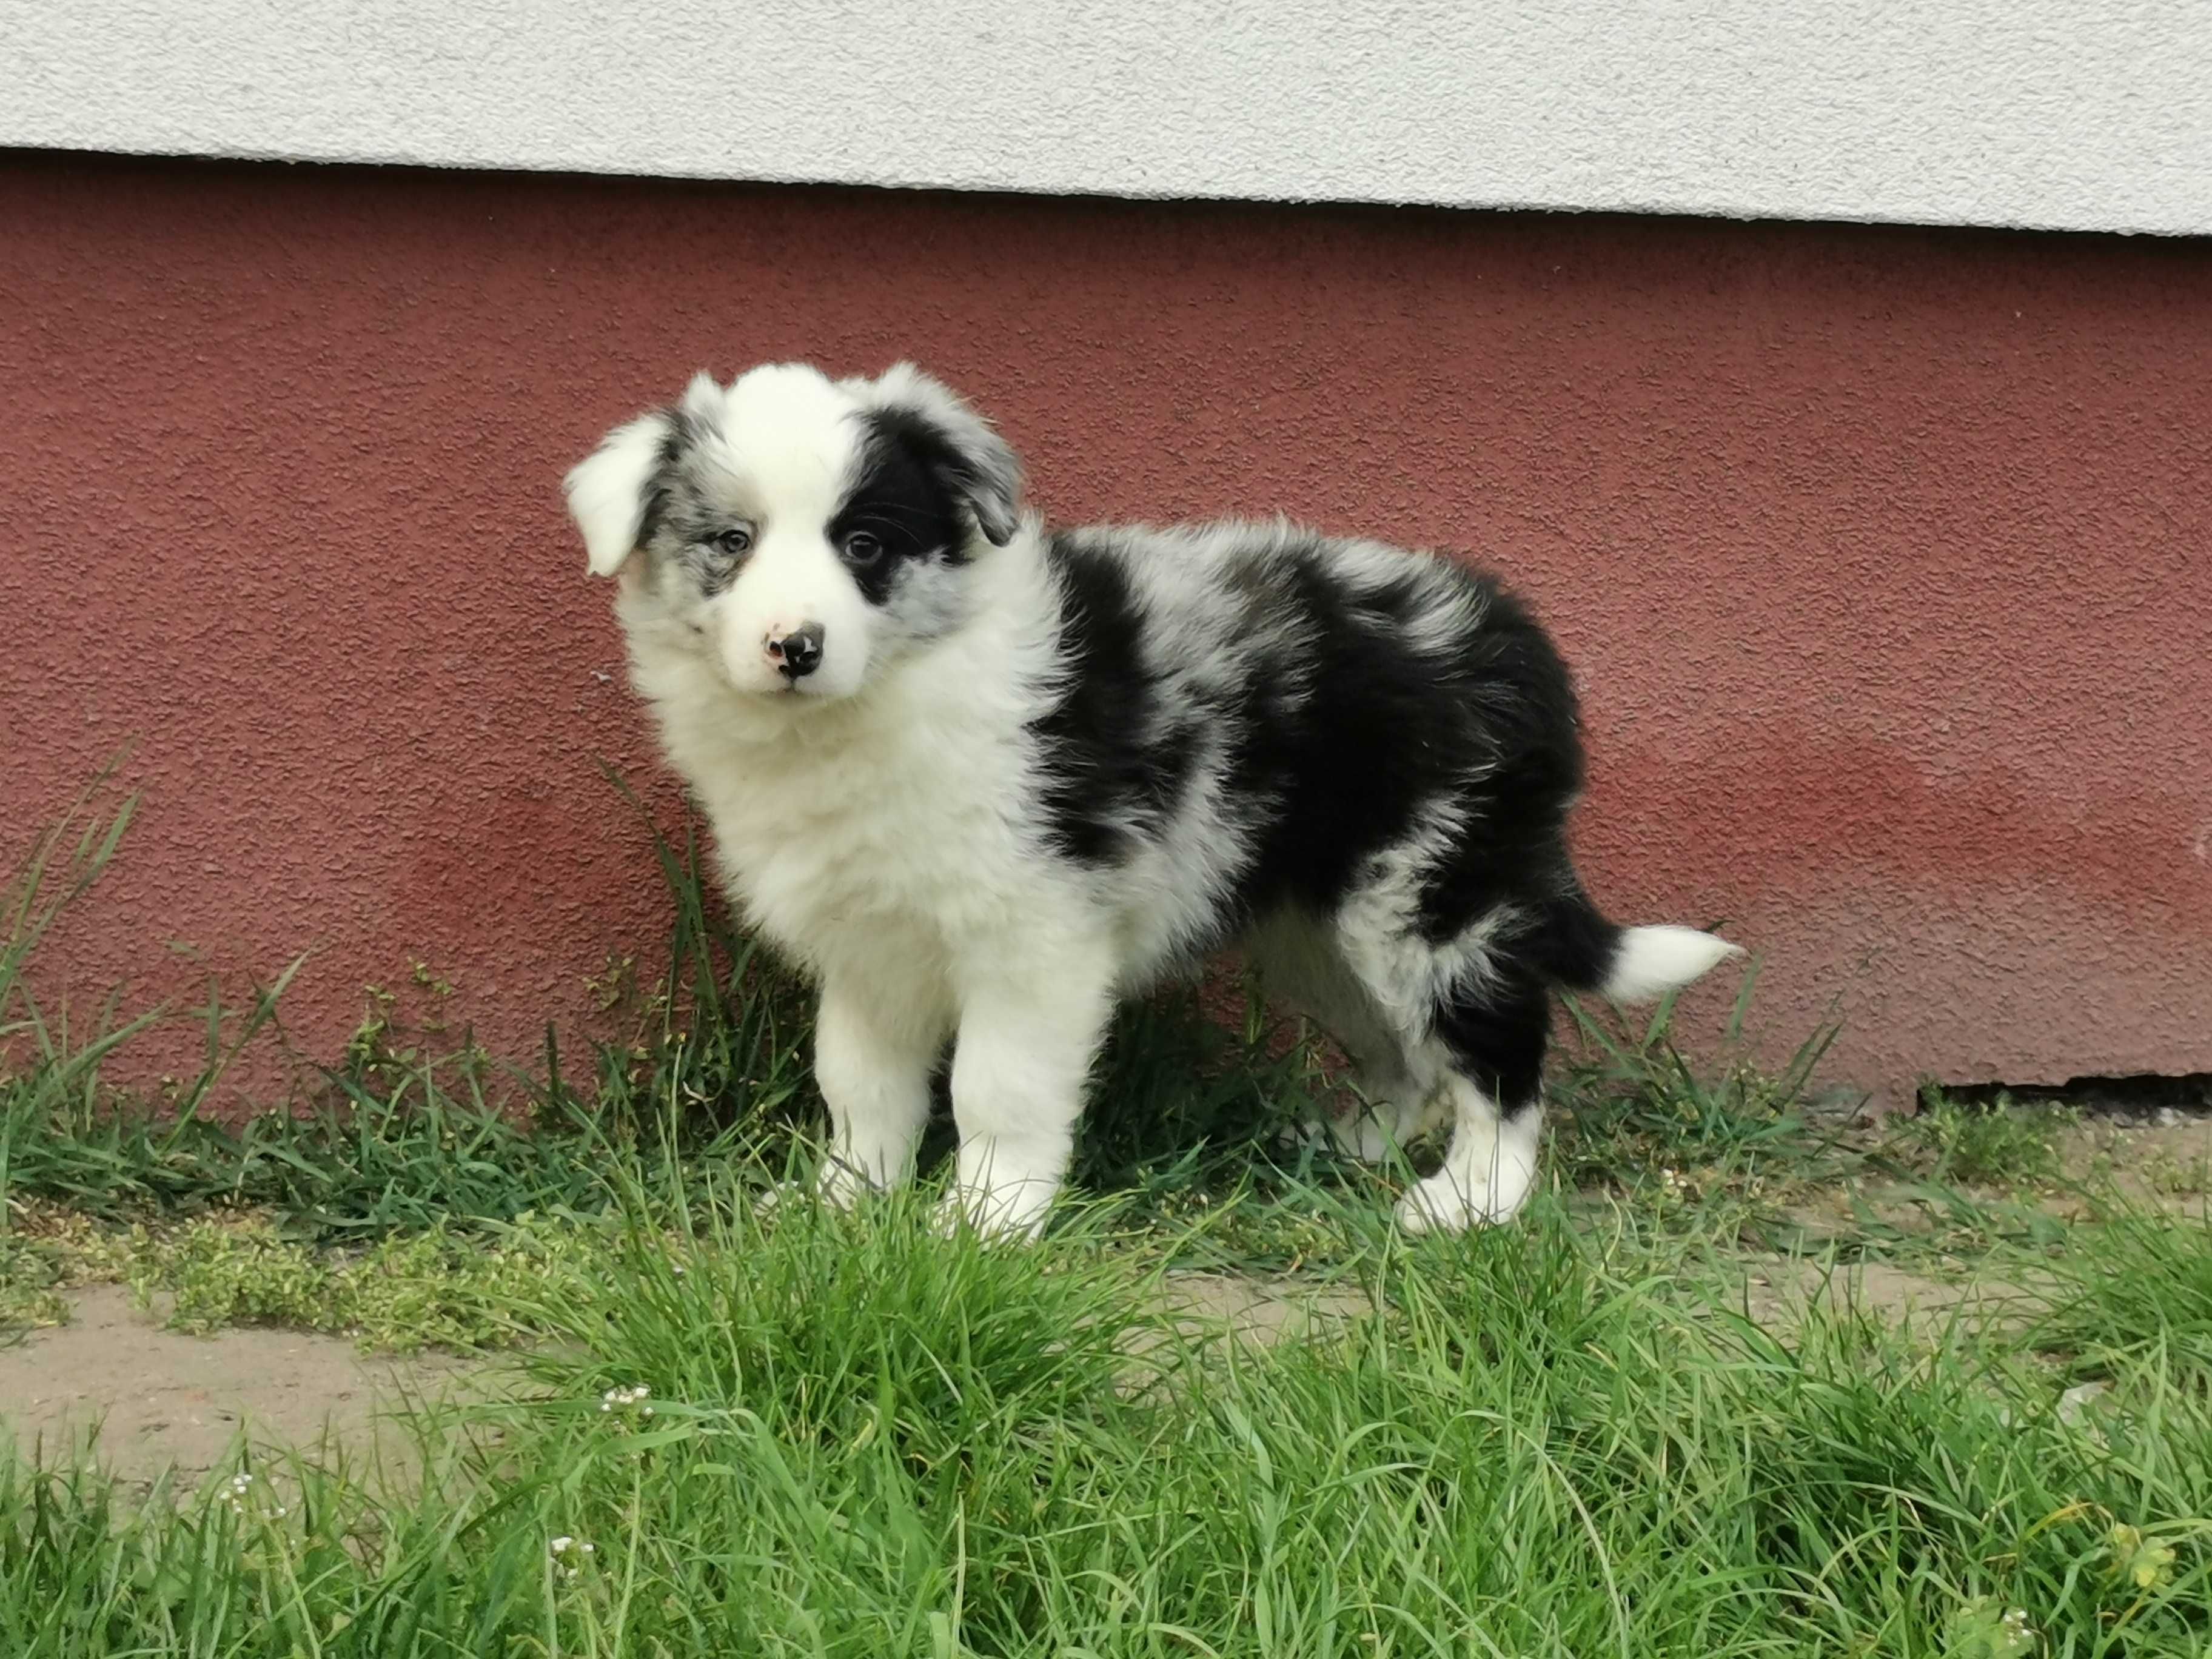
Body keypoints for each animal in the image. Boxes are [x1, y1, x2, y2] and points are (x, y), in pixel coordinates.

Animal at [561, 367, 1734, 1247]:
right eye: (730, 543)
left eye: (864, 546)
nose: (794, 647)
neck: (883, 695)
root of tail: (1512, 640)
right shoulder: (869, 944)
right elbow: (858, 1082)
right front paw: (842, 1201)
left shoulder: (1033, 935)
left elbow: (997, 1086)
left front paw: (984, 1223)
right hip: (1317, 928)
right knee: (1403, 1053)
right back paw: (1349, 1147)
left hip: (1433, 893)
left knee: (1497, 1054)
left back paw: (1467, 1205)